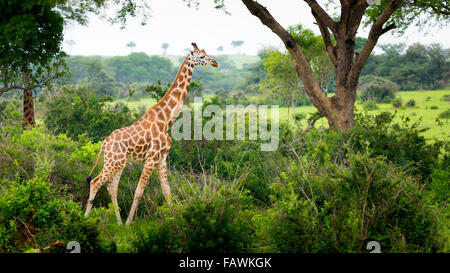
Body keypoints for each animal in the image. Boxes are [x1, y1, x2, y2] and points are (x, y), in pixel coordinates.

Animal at [84, 43, 218, 225]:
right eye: (202, 56)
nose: (215, 63)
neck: (167, 120)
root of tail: (104, 143)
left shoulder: (162, 158)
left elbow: (167, 191)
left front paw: (175, 218)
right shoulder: (151, 158)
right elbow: (139, 191)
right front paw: (129, 224)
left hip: (118, 163)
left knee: (111, 187)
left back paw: (118, 223)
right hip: (113, 162)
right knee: (95, 182)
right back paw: (85, 219)